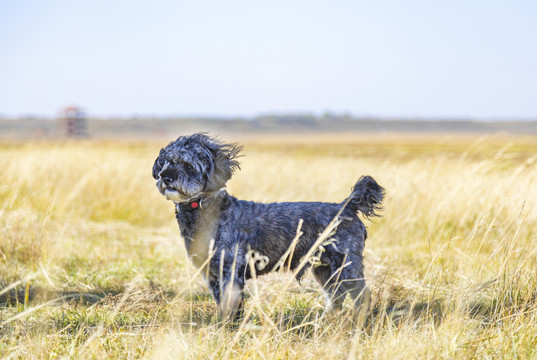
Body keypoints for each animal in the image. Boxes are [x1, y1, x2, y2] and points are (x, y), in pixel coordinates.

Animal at [153, 134, 384, 322]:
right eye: (166, 163)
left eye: (188, 166)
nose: (166, 177)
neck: (205, 211)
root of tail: (348, 205)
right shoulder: (212, 275)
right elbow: (225, 306)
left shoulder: (230, 273)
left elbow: (230, 308)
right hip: (325, 269)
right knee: (336, 296)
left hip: (347, 266)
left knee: (362, 296)